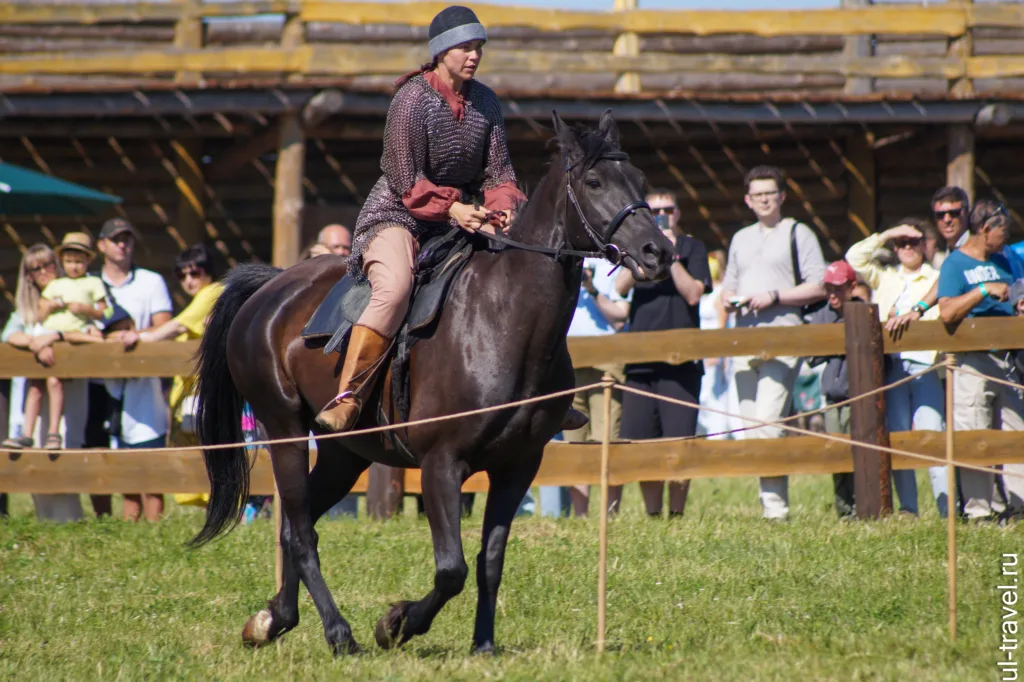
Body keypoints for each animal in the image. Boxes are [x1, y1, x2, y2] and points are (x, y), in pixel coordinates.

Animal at [192, 111, 675, 655]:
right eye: (594, 183)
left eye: (639, 181)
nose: (659, 252)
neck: (501, 316)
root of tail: (269, 290)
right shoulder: (441, 464)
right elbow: (452, 570)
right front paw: (396, 623)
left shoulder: (517, 467)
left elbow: (489, 563)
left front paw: (483, 644)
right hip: (285, 433)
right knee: (300, 532)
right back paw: (339, 634)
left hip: (344, 452)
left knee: (298, 526)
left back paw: (273, 619)